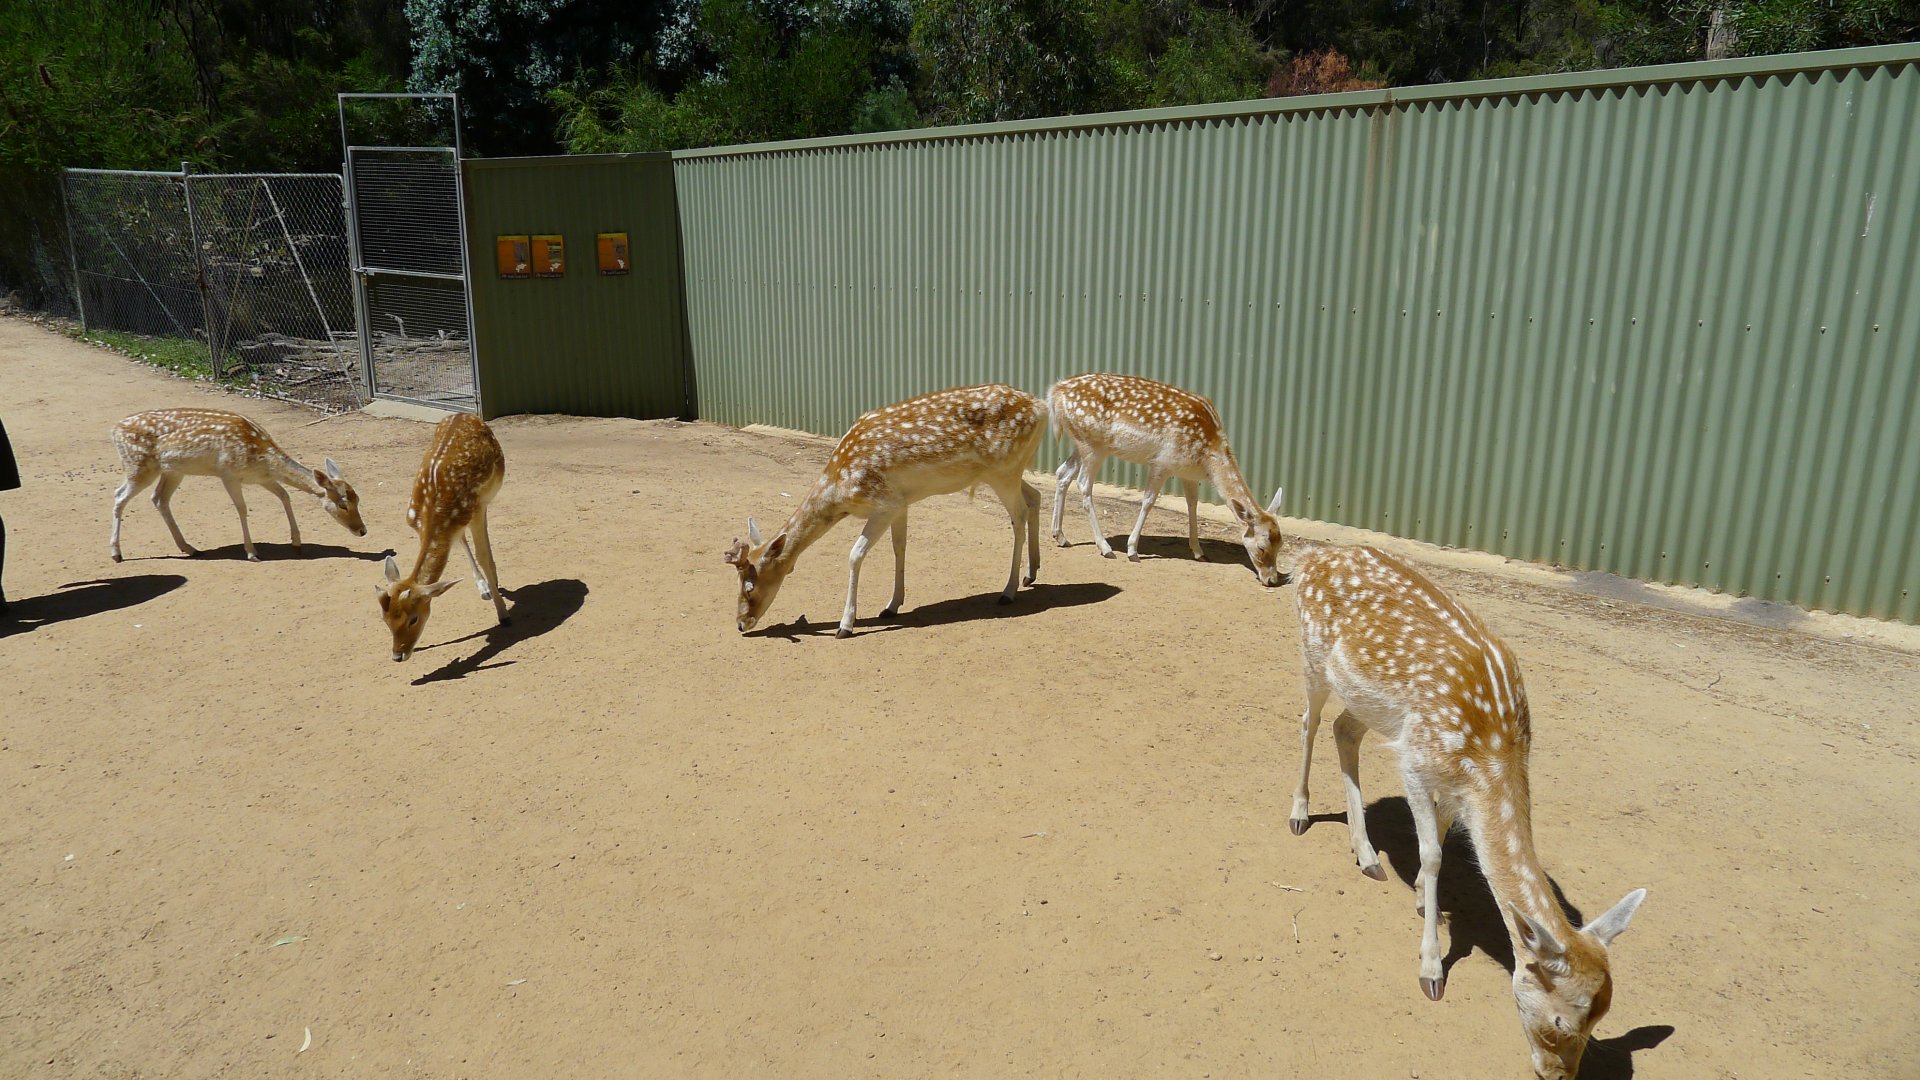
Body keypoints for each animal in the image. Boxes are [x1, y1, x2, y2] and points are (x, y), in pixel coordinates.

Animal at [109, 408, 366, 562]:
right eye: (343, 504)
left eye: (358, 499)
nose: (362, 530)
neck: (262, 457)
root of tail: (114, 429)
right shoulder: (229, 474)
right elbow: (242, 509)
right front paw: (252, 552)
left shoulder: (263, 478)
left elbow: (285, 496)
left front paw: (296, 543)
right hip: (138, 466)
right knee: (119, 496)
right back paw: (116, 554)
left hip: (173, 471)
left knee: (159, 498)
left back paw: (189, 547)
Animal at [376, 413, 509, 662]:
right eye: (385, 620)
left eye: (413, 618)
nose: (398, 655)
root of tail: (463, 414)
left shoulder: (476, 509)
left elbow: (484, 555)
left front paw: (504, 614)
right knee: (461, 539)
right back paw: (484, 587)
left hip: (486, 498)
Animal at [725, 384, 1048, 639]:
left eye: (750, 587)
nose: (741, 624)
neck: (841, 489)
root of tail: (1042, 407)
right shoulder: (900, 503)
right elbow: (899, 547)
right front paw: (891, 606)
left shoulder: (884, 502)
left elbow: (855, 554)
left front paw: (845, 625)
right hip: (1007, 472)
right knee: (1035, 496)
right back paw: (1031, 573)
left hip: (1003, 470)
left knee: (1018, 516)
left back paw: (1008, 591)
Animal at [1046, 373, 1286, 586]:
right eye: (1262, 547)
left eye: (1281, 546)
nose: (1272, 580)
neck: (1207, 457)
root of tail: (1055, 392)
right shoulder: (1162, 462)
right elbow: (1148, 501)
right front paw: (1132, 550)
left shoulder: (1187, 472)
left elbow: (1192, 504)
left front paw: (1199, 551)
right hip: (1092, 444)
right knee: (1083, 484)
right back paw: (1105, 548)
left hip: (1082, 443)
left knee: (1062, 473)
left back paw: (1061, 536)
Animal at [1287, 544, 1646, 1079]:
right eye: (1561, 1021)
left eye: (1600, 1019)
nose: (1557, 1075)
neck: (1493, 752)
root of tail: (1312, 554)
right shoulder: (1416, 760)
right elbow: (1432, 852)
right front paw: (1430, 968)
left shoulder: (1455, 784)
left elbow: (1441, 831)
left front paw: (1419, 898)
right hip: (1313, 659)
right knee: (1309, 721)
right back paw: (1300, 813)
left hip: (1368, 705)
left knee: (1343, 730)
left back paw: (1368, 856)